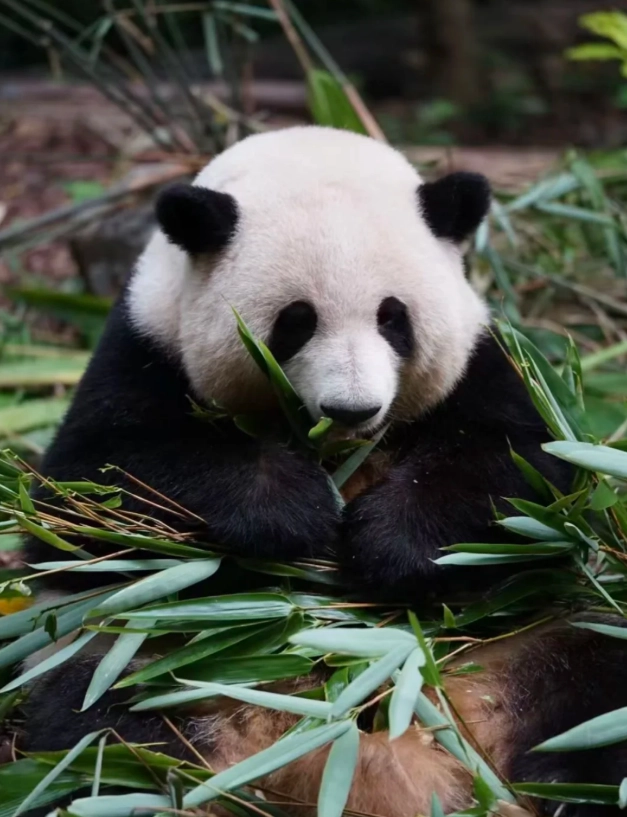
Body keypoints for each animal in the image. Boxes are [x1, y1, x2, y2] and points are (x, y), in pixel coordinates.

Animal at [16, 126, 627, 817]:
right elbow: (93, 491)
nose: (352, 409)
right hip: (138, 656)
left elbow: (526, 474)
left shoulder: (485, 362)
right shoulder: (143, 349)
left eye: (393, 317)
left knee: (591, 694)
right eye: (296, 322)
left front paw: (389, 542)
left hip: (535, 640)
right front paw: (295, 511)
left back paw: (567, 783)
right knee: (99, 734)